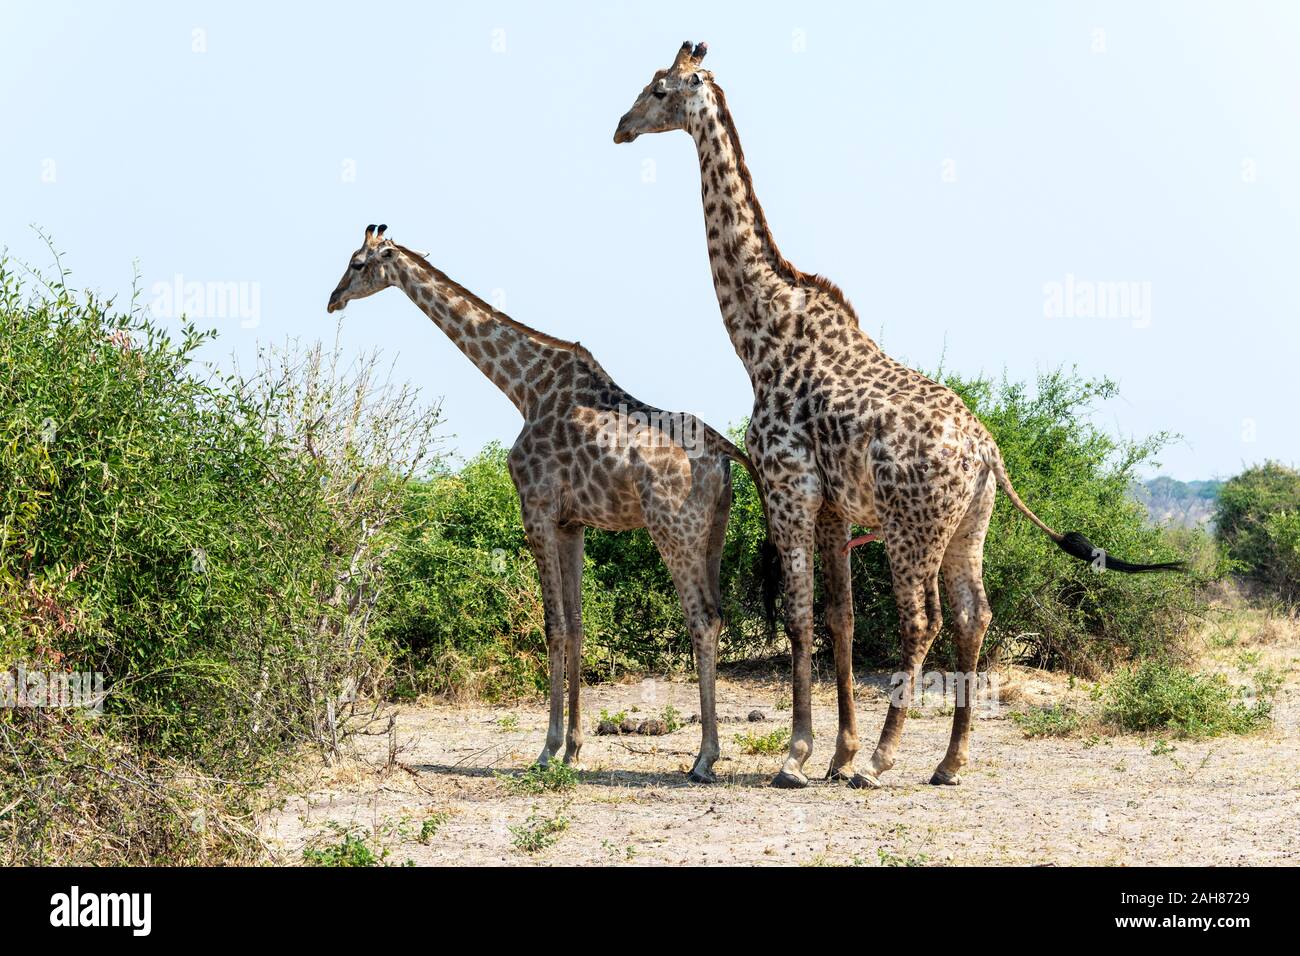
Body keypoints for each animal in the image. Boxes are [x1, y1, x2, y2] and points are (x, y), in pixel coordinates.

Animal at [327, 224, 770, 783]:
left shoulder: (534, 510)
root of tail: (722, 452)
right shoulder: (571, 522)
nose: (332, 300)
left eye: (358, 263)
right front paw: (574, 748)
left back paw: (704, 757)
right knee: (717, 616)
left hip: (674, 530)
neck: (524, 388)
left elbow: (553, 626)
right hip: (715, 530)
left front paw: (546, 749)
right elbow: (578, 624)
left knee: (703, 619)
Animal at [614, 43, 1182, 790]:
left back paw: (886, 758)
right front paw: (836, 752)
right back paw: (948, 760)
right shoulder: (834, 506)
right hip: (969, 525)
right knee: (973, 614)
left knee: (922, 621)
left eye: (659, 88)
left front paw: (802, 756)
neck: (760, 337)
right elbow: (841, 619)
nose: (620, 127)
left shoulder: (788, 488)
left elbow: (798, 616)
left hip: (914, 527)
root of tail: (987, 453)